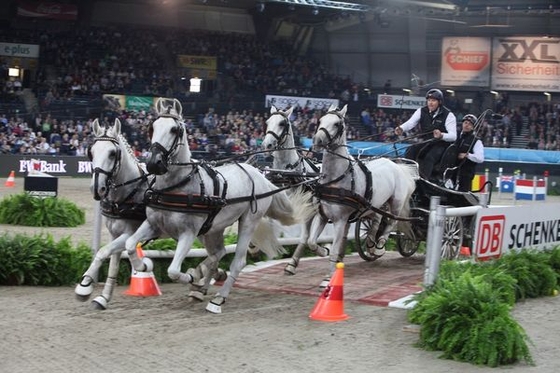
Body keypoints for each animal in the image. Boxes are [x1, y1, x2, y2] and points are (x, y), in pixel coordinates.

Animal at [76, 118, 152, 308]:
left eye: (112, 153)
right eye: (91, 152)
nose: (97, 188)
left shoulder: (129, 234)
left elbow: (102, 252)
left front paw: (84, 287)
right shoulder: (115, 234)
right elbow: (113, 264)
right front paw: (103, 298)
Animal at [122, 97, 316, 312]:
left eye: (174, 129)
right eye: (152, 127)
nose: (153, 163)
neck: (177, 185)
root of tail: (260, 176)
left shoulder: (188, 233)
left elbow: (173, 270)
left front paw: (191, 276)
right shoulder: (153, 225)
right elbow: (129, 245)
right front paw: (142, 266)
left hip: (248, 222)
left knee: (237, 261)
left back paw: (217, 297)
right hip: (213, 228)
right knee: (218, 252)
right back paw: (202, 286)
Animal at [310, 103, 416, 286]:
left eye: (337, 124)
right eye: (320, 120)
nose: (318, 141)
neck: (337, 179)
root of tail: (397, 165)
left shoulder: (340, 220)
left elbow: (335, 249)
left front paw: (327, 279)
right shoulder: (322, 215)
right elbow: (311, 242)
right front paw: (323, 251)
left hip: (396, 203)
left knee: (391, 222)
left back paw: (379, 246)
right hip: (373, 205)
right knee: (378, 218)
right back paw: (371, 243)